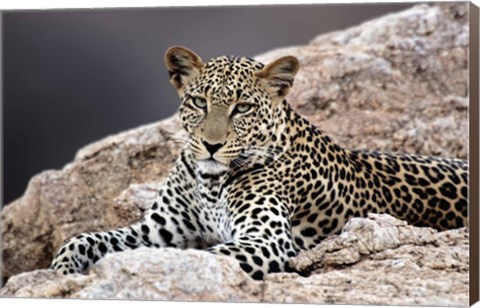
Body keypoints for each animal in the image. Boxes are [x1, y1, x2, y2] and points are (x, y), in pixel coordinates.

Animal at [49, 45, 468, 280]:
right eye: (199, 102)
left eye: (243, 108)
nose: (211, 145)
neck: (210, 182)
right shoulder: (158, 231)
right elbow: (83, 238)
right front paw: (61, 273)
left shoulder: (264, 239)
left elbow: (202, 258)